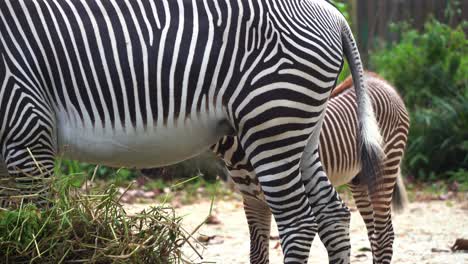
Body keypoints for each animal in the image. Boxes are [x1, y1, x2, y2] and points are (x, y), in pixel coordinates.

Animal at [212, 71, 410, 262]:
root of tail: (377, 80)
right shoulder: (252, 201)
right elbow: (257, 255)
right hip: (359, 180)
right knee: (374, 234)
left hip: (387, 165)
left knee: (383, 235)